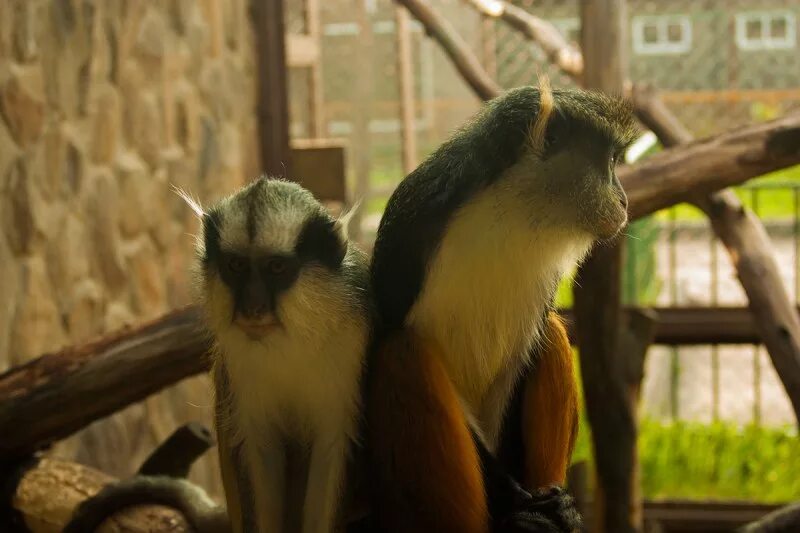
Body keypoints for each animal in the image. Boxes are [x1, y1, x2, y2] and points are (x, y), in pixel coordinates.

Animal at [195, 177, 374, 528]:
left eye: (276, 267)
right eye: (236, 266)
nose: (252, 308)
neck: (294, 339)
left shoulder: (354, 342)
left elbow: (332, 447)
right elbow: (260, 448)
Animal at [364, 80, 636, 532]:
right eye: (611, 161)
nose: (625, 199)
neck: (516, 211)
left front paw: (548, 508)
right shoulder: (412, 228)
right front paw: (514, 505)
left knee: (551, 333)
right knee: (404, 352)